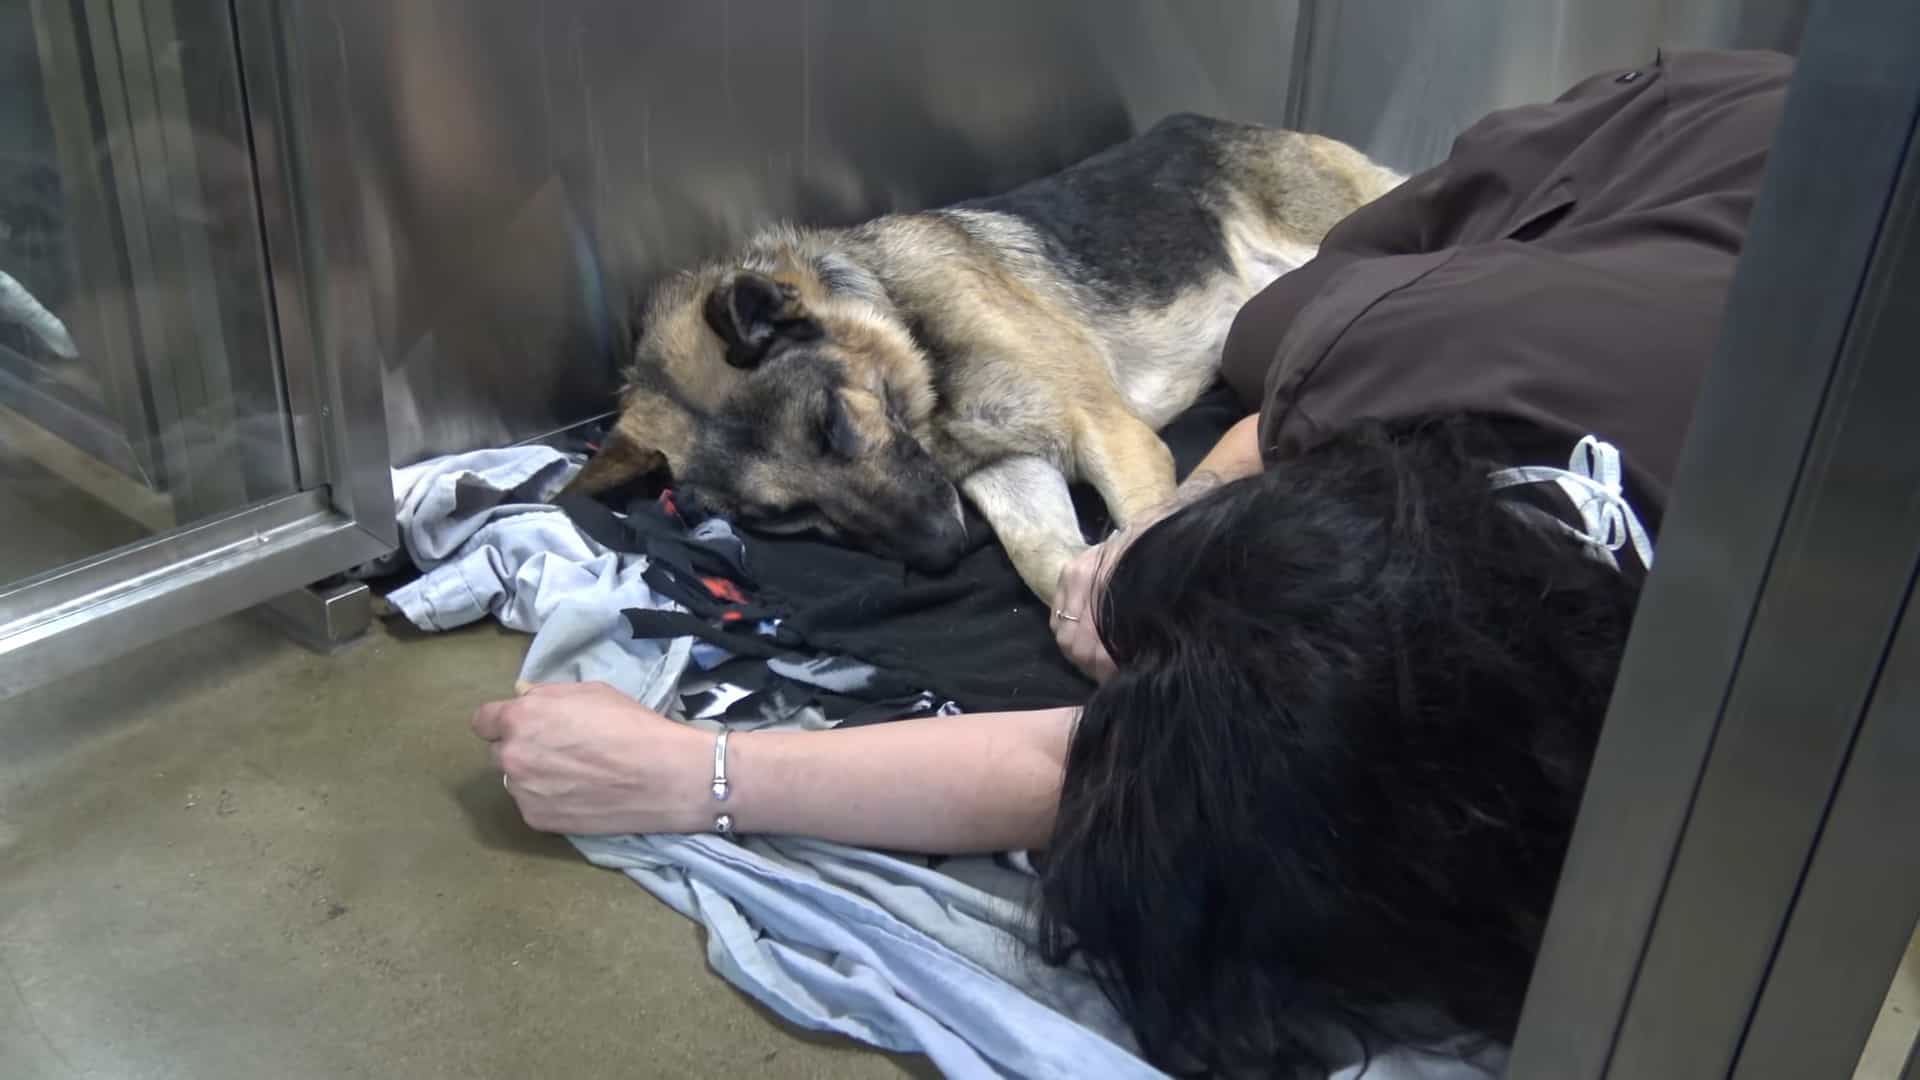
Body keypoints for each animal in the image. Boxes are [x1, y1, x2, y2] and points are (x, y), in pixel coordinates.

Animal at [556, 118, 1397, 607]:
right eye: (783, 519)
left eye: (833, 425)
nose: (946, 551)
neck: (911, 330)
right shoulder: (1010, 472)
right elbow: (1047, 564)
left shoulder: (1113, 437)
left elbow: (1140, 532)